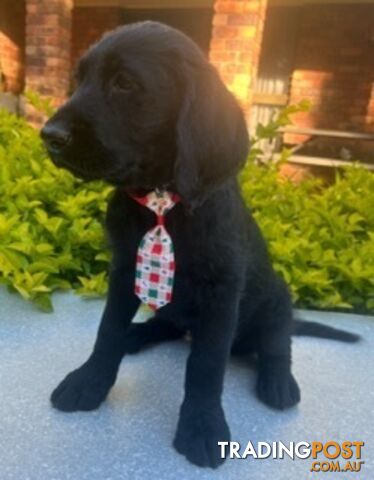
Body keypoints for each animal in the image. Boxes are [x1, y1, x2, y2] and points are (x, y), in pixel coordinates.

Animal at [41, 22, 360, 468]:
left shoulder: (221, 292)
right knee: (166, 324)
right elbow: (107, 333)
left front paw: (202, 426)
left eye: (124, 83)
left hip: (278, 297)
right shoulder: (124, 271)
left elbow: (206, 368)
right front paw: (89, 381)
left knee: (278, 342)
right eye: (79, 79)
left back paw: (279, 381)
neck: (162, 201)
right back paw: (136, 336)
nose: (48, 136)